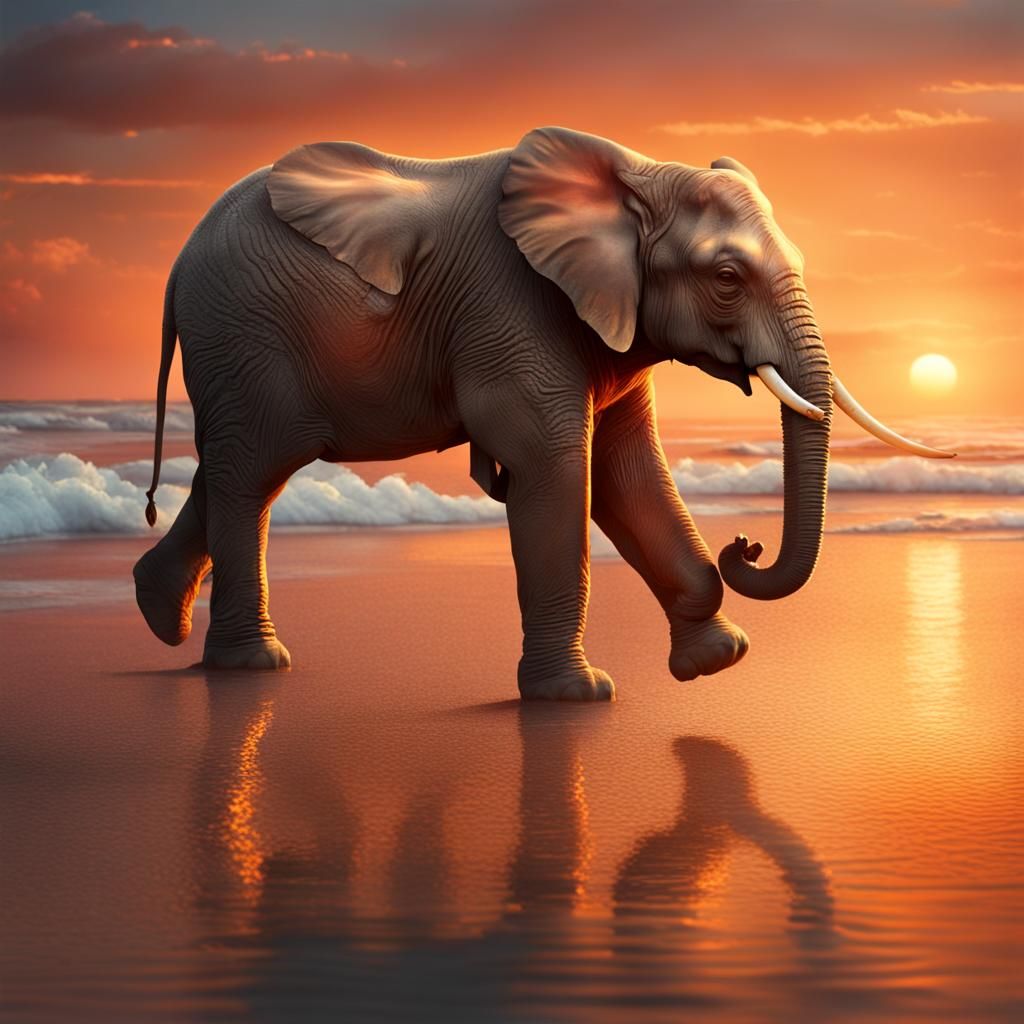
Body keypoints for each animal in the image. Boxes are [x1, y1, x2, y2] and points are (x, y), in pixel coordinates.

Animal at [134, 126, 953, 699]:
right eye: (726, 277)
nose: (744, 545)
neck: (631, 171)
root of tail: (175, 264)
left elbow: (630, 471)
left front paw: (716, 660)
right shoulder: (512, 307)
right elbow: (559, 469)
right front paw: (576, 697)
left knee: (235, 470)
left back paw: (159, 613)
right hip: (242, 334)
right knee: (254, 475)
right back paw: (252, 664)